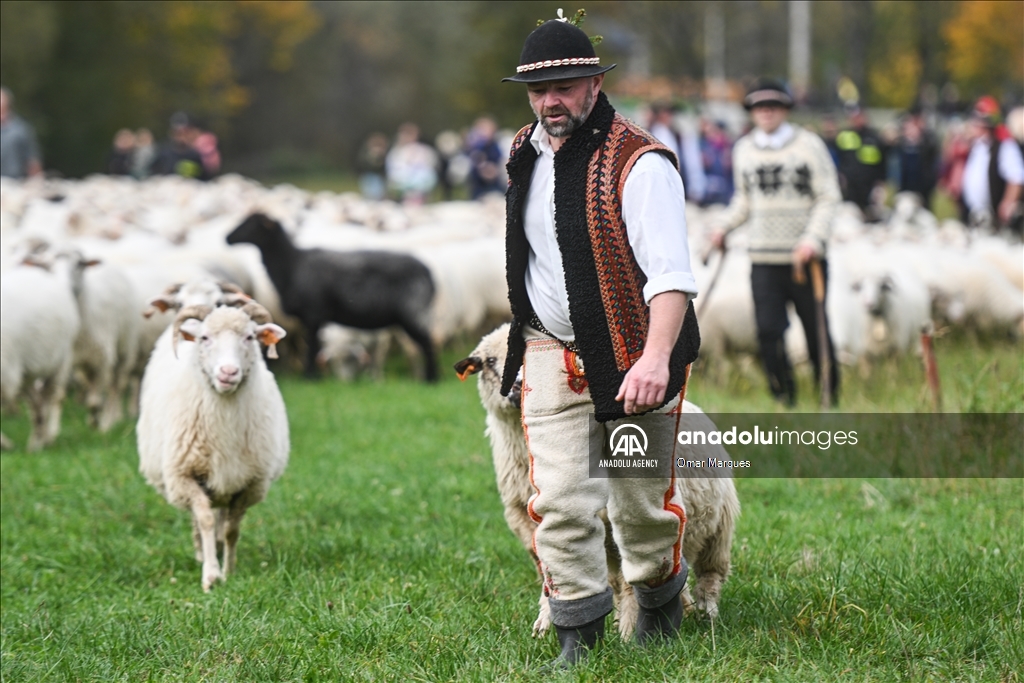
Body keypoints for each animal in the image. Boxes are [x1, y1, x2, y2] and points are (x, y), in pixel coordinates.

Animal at [136, 301, 288, 589]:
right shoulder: (184, 476)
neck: (223, 428)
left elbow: (231, 529)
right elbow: (205, 520)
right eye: (205, 338)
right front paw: (211, 576)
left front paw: (230, 571)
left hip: (227, 483)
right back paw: (202, 553)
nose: (228, 372)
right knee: (200, 518)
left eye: (249, 337)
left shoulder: (249, 483)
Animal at [226, 214, 438, 382]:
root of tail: (428, 273)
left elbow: (312, 348)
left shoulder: (313, 314)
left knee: (427, 344)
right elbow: (315, 348)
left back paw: (431, 379)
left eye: (252, 224)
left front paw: (310, 377)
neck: (292, 264)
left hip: (413, 311)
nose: (227, 238)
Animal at [456, 323, 737, 638]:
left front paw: (628, 632)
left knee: (708, 574)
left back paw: (705, 614)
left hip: (718, 530)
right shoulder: (525, 521)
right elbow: (550, 569)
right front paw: (545, 624)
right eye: (489, 361)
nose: (518, 387)